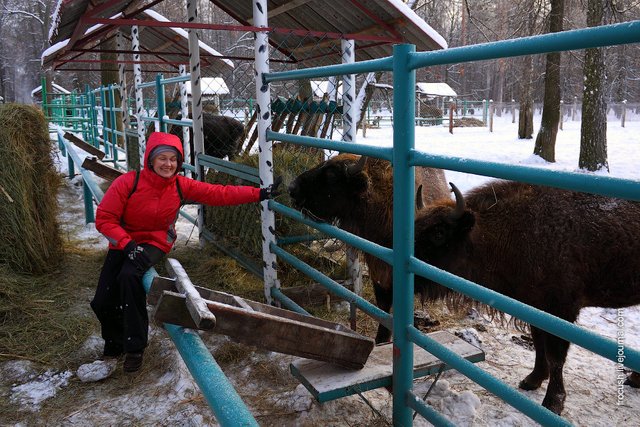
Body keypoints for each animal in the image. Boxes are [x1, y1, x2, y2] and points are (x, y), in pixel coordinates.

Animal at [412, 181, 636, 414]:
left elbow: (556, 355)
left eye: (439, 232)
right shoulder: (533, 306)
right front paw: (532, 380)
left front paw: (553, 402)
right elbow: (539, 343)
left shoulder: (561, 311)